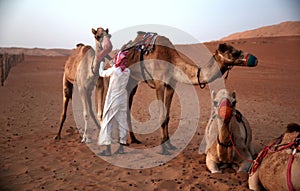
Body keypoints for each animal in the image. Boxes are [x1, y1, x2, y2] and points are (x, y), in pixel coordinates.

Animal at [108, 31, 258, 154]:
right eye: (233, 53)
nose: (254, 59)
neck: (170, 60)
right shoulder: (159, 83)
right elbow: (161, 116)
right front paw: (163, 149)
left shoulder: (171, 85)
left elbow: (167, 117)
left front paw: (169, 145)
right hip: (126, 78)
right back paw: (123, 142)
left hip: (134, 81)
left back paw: (134, 139)